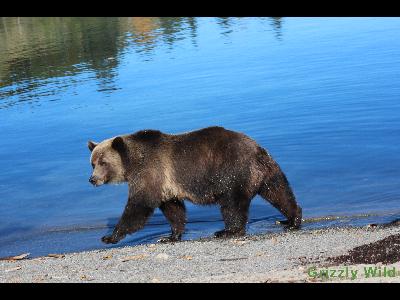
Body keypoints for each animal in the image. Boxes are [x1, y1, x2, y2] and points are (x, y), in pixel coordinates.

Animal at [86, 125, 300, 245]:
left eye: (103, 162)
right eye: (92, 163)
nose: (92, 179)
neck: (132, 162)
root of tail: (257, 149)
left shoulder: (150, 172)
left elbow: (139, 206)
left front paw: (110, 236)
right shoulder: (166, 185)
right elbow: (174, 210)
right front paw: (170, 236)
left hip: (232, 172)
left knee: (232, 205)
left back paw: (226, 231)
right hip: (266, 172)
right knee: (279, 192)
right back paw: (291, 219)